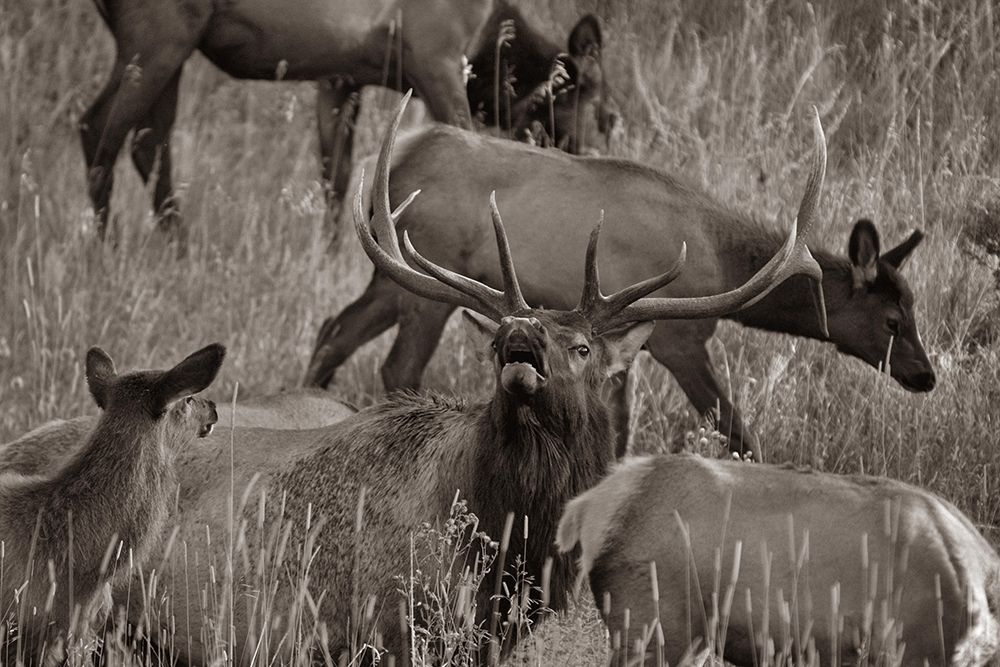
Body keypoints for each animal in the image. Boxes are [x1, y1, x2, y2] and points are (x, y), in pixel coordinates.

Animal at [82, 0, 606, 243]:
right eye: (606, 111)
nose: (591, 158)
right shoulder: (437, 60)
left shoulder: (340, 79)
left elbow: (336, 180)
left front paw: (332, 255)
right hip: (157, 37)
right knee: (97, 127)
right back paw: (106, 247)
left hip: (175, 46)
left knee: (149, 142)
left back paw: (179, 243)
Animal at [304, 116, 933, 460]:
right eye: (892, 320)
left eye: (913, 307)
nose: (925, 375)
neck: (721, 259)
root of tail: (394, 160)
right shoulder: (681, 339)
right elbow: (736, 430)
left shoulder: (628, 347)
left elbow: (620, 427)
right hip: (423, 278)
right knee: (397, 365)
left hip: (389, 276)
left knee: (334, 328)